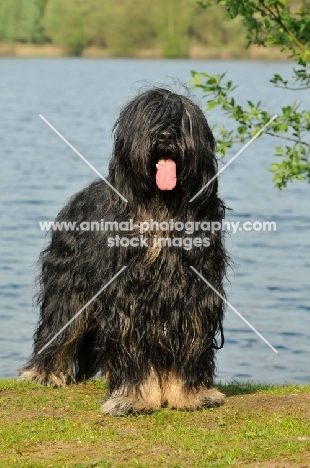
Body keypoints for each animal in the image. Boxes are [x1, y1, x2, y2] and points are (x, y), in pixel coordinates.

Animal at [20, 87, 228, 414]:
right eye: (150, 117)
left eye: (182, 120)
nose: (166, 135)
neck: (161, 211)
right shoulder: (128, 298)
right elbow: (131, 347)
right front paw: (134, 397)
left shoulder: (194, 294)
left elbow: (191, 342)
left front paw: (191, 395)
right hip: (69, 284)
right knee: (59, 324)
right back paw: (44, 372)